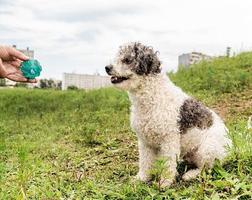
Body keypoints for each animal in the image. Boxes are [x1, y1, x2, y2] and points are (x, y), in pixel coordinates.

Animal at [105, 42, 232, 188]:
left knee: (207, 168)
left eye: (127, 60)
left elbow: (168, 163)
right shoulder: (144, 142)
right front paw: (142, 178)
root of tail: (231, 149)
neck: (152, 96)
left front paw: (165, 182)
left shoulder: (169, 140)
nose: (107, 67)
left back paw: (190, 174)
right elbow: (145, 162)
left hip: (207, 149)